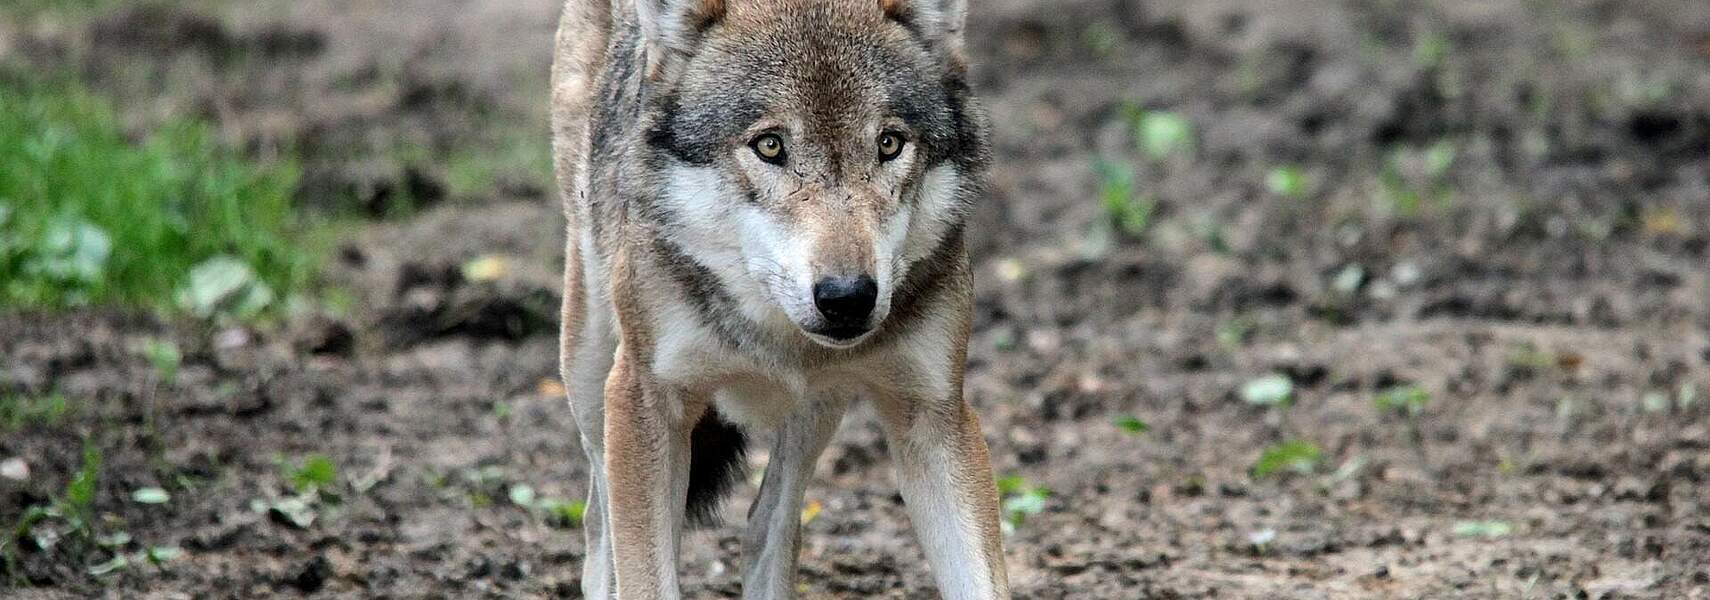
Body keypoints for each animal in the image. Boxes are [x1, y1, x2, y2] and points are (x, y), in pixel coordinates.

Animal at [550, 0, 998, 598]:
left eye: (889, 144)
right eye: (770, 145)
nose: (848, 297)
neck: (775, 333)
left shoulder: (933, 414)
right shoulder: (642, 398)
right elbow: (644, 572)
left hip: (818, 404)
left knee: (769, 526)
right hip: (590, 364)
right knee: (599, 528)